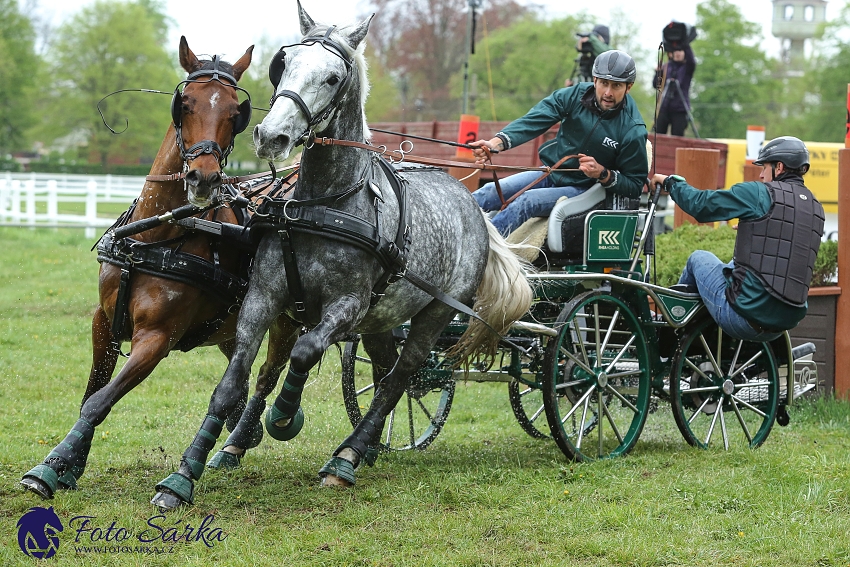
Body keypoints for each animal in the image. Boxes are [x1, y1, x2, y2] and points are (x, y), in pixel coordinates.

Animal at [21, 36, 300, 502]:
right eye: (184, 104)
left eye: (234, 113)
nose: (204, 178)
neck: (156, 236)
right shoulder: (103, 321)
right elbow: (92, 392)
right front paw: (70, 465)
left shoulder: (157, 337)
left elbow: (101, 401)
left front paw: (50, 466)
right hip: (229, 326)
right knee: (242, 375)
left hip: (286, 320)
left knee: (267, 375)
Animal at [149, 1, 528, 510]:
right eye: (283, 63)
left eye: (332, 77)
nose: (271, 136)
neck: (325, 203)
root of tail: (472, 203)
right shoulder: (263, 298)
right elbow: (232, 382)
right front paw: (184, 473)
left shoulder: (347, 306)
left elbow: (306, 351)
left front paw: (284, 416)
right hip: (384, 318)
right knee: (387, 372)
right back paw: (364, 448)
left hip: (432, 314)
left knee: (401, 377)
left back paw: (344, 460)